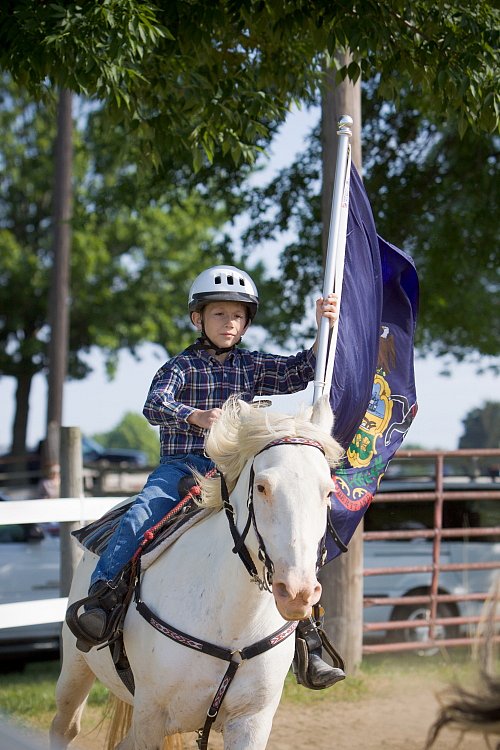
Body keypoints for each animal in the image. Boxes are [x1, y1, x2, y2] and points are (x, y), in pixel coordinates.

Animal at [49, 396, 344, 748]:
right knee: (64, 727)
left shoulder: (252, 722)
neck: (231, 623)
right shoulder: (150, 715)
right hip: (75, 668)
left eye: (328, 492)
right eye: (262, 487)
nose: (298, 592)